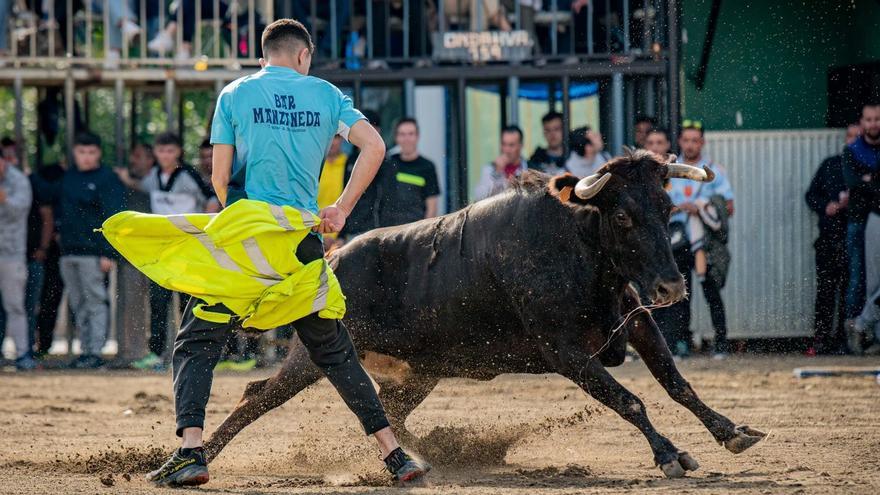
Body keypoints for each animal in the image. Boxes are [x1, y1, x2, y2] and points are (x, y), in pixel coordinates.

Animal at [205, 153, 764, 478]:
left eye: (668, 206)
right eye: (623, 215)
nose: (671, 287)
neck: (578, 247)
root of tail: (333, 256)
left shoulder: (638, 321)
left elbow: (676, 384)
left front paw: (730, 432)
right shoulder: (565, 352)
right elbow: (629, 399)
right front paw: (668, 454)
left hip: (418, 373)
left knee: (388, 408)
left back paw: (429, 454)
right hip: (314, 355)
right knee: (257, 397)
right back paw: (200, 457)